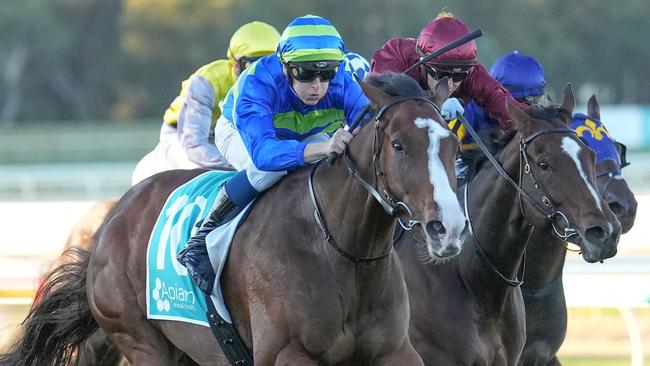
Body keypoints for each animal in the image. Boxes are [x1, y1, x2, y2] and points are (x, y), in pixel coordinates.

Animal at [1, 73, 466, 366]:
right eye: (399, 145)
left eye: (452, 144)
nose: (448, 228)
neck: (341, 249)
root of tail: (110, 221)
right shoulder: (286, 354)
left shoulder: (395, 351)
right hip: (141, 341)